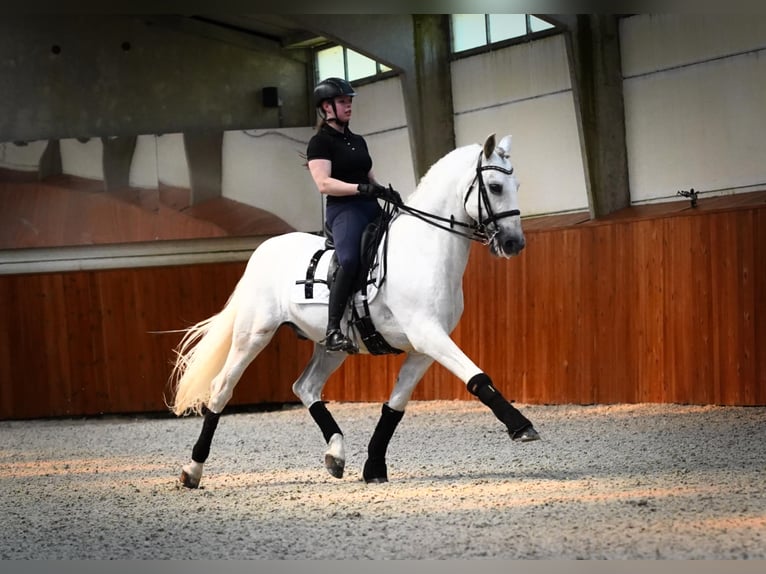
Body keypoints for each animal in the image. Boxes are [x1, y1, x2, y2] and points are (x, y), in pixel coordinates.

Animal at [170, 133, 540, 488]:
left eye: (519, 185)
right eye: (496, 186)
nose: (514, 244)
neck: (425, 248)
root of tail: (263, 249)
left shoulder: (424, 348)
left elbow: (395, 406)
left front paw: (374, 467)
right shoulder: (428, 334)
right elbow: (477, 377)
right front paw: (522, 426)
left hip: (331, 347)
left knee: (305, 387)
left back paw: (336, 454)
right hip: (253, 335)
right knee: (222, 387)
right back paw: (192, 470)